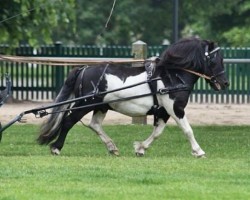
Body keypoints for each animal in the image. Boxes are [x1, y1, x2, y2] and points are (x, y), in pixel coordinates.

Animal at [36, 36, 229, 157]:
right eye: (215, 60)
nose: (225, 83)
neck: (171, 76)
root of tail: (84, 69)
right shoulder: (175, 108)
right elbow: (187, 129)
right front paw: (198, 151)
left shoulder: (163, 112)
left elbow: (157, 132)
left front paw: (140, 148)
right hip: (85, 104)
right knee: (68, 121)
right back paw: (56, 148)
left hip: (101, 106)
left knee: (94, 124)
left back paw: (112, 147)